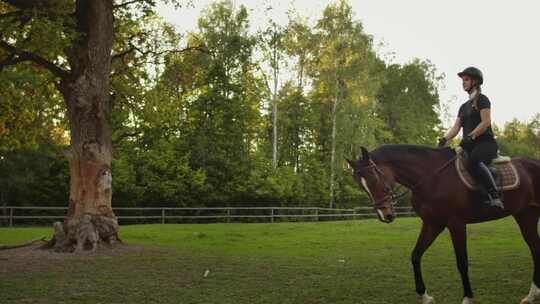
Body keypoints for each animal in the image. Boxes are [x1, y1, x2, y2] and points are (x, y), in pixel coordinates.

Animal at [348, 145, 540, 304]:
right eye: (361, 185)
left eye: (374, 178)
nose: (385, 215)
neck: (431, 178)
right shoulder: (432, 224)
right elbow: (415, 255)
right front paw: (425, 296)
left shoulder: (456, 224)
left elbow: (462, 262)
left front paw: (467, 298)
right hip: (526, 215)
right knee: (535, 249)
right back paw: (531, 295)